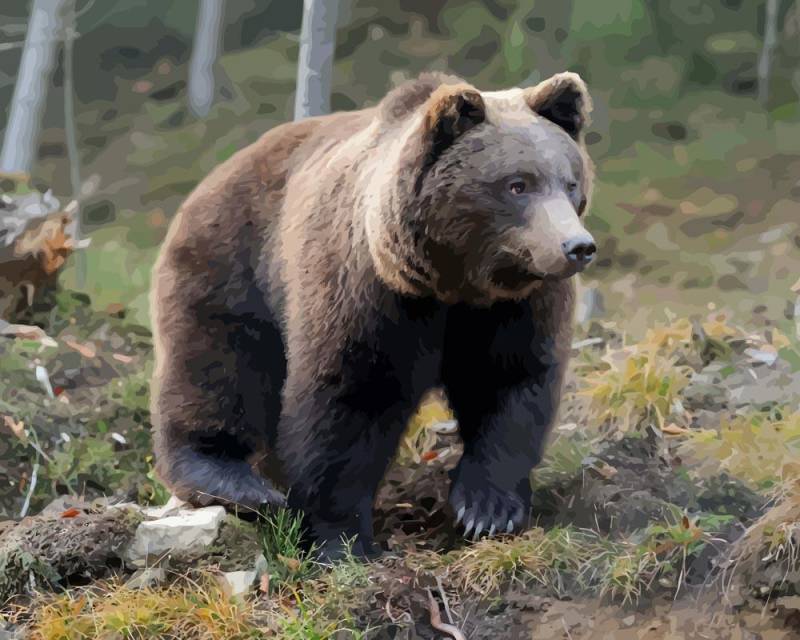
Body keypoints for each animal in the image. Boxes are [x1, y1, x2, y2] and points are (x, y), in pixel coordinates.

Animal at [153, 71, 596, 560]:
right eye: (518, 184)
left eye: (570, 182)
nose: (577, 246)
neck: (451, 283)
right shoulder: (369, 295)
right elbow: (349, 401)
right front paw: (339, 539)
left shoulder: (514, 305)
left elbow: (509, 384)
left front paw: (486, 509)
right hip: (233, 262)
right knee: (217, 367)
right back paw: (235, 482)